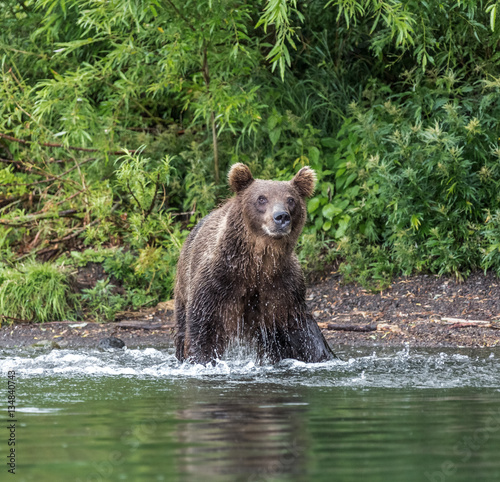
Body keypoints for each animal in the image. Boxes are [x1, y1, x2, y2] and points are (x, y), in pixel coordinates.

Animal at [174, 164, 334, 364]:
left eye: (291, 199)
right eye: (261, 198)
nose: (281, 217)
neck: (256, 265)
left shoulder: (283, 288)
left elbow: (302, 330)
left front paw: (325, 355)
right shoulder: (217, 282)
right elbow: (203, 326)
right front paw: (201, 358)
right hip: (183, 286)